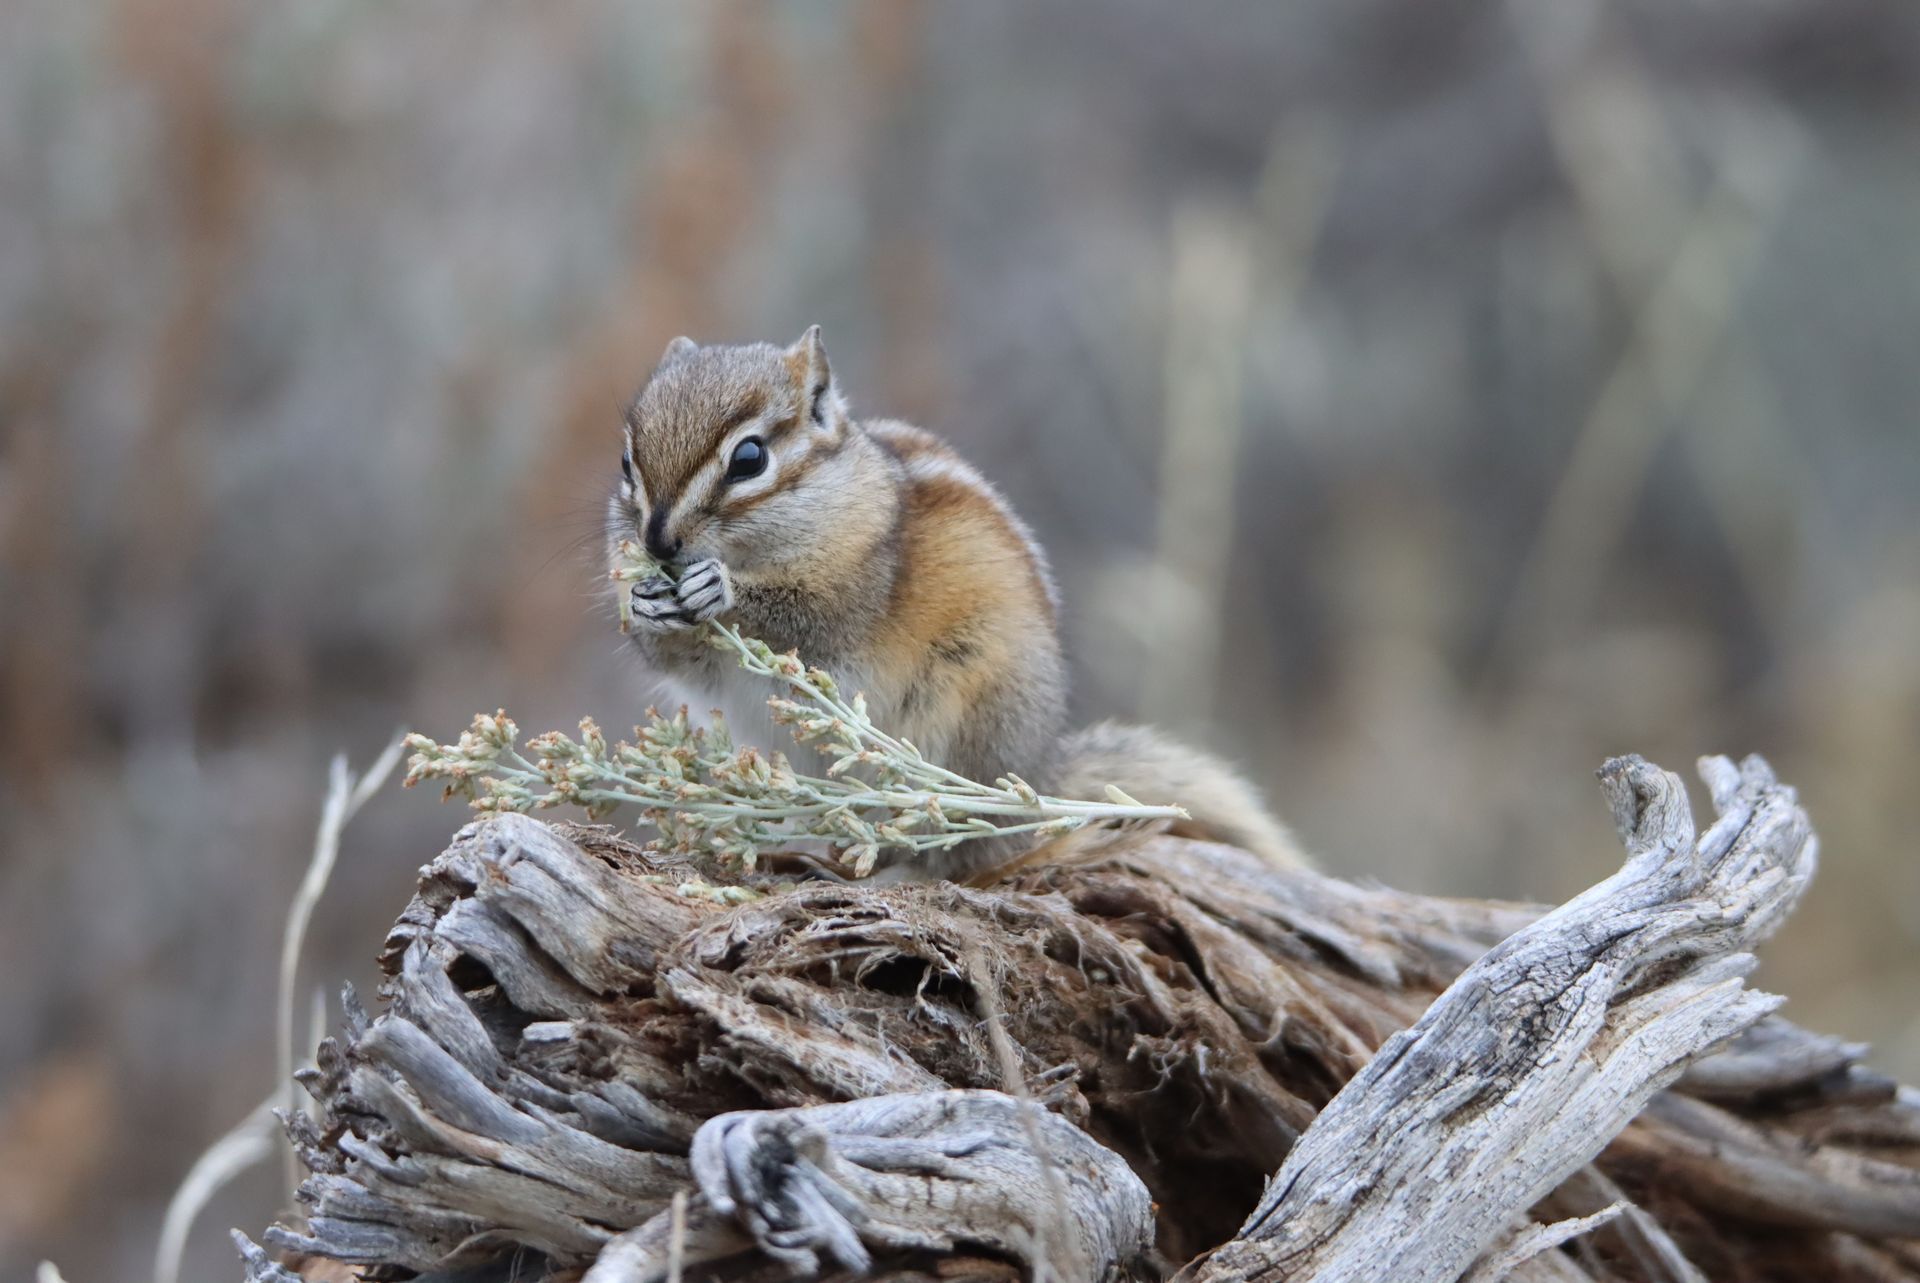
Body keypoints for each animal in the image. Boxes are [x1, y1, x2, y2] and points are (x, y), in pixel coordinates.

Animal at [607, 326, 1304, 879]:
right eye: (625, 462)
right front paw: (648, 604)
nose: (657, 542)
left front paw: (718, 589)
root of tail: (1041, 776)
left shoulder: (860, 580)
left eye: (750, 457)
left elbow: (812, 617)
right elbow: (682, 660)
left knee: (963, 849)